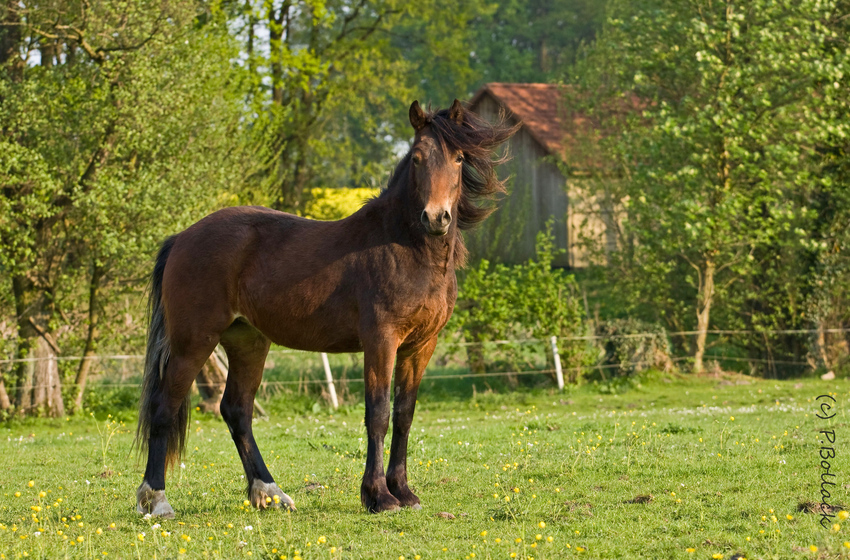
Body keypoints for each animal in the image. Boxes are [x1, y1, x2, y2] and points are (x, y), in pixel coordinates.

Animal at [135, 99, 512, 516]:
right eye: (416, 157)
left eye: (459, 158)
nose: (436, 217)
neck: (405, 246)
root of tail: (182, 237)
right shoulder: (381, 341)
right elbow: (378, 413)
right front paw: (379, 496)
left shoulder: (420, 346)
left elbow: (404, 414)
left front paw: (403, 491)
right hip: (194, 341)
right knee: (165, 406)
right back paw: (157, 499)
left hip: (248, 341)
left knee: (236, 410)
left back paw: (269, 492)